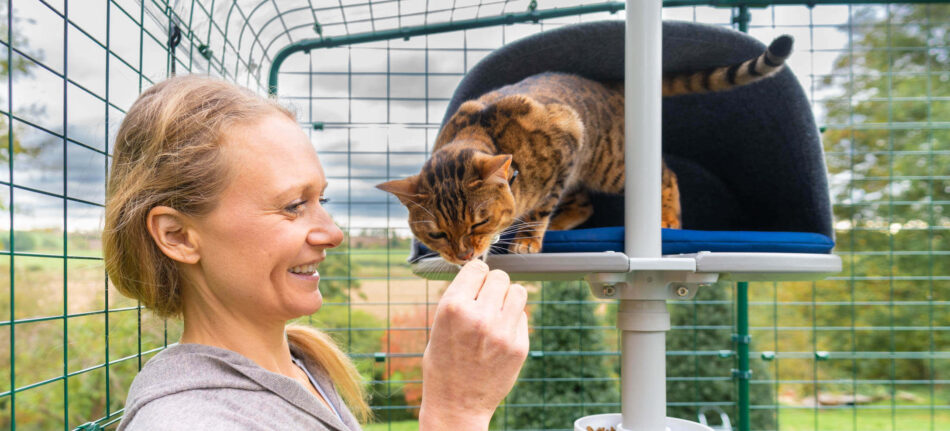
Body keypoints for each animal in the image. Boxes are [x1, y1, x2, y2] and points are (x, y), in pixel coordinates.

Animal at [380, 35, 796, 264]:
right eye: (437, 235)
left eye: (478, 222)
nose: (464, 255)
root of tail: (609, 86)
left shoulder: (567, 143)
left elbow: (542, 208)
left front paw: (528, 239)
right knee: (584, 204)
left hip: (608, 165)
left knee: (665, 175)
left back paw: (667, 220)